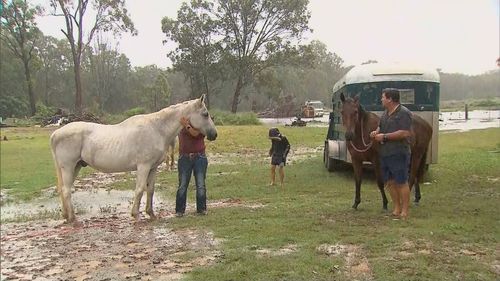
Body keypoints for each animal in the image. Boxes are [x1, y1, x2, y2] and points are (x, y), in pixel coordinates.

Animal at [49, 95, 219, 222]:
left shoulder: (153, 167)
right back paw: (72, 218)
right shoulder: (143, 166)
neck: (157, 129)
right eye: (205, 114)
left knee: (64, 190)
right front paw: (136, 214)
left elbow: (150, 189)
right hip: (68, 167)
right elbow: (140, 189)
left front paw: (151, 214)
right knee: (66, 191)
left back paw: (66, 215)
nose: (214, 134)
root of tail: (56, 134)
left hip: (76, 166)